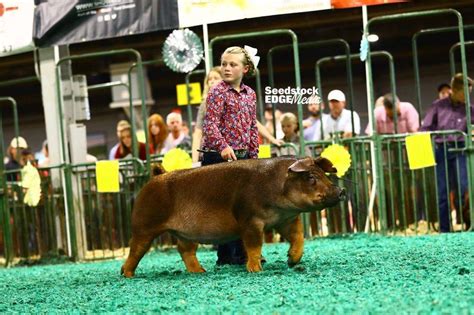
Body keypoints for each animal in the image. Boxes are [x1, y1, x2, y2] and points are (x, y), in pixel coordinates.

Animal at [121, 157, 344, 278]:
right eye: (311, 177)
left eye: (324, 175)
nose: (340, 191)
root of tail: (156, 177)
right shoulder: (249, 219)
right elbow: (254, 246)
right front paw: (256, 270)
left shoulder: (286, 219)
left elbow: (298, 237)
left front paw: (291, 261)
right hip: (144, 225)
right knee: (136, 249)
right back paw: (127, 275)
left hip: (186, 233)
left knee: (184, 250)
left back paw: (200, 272)